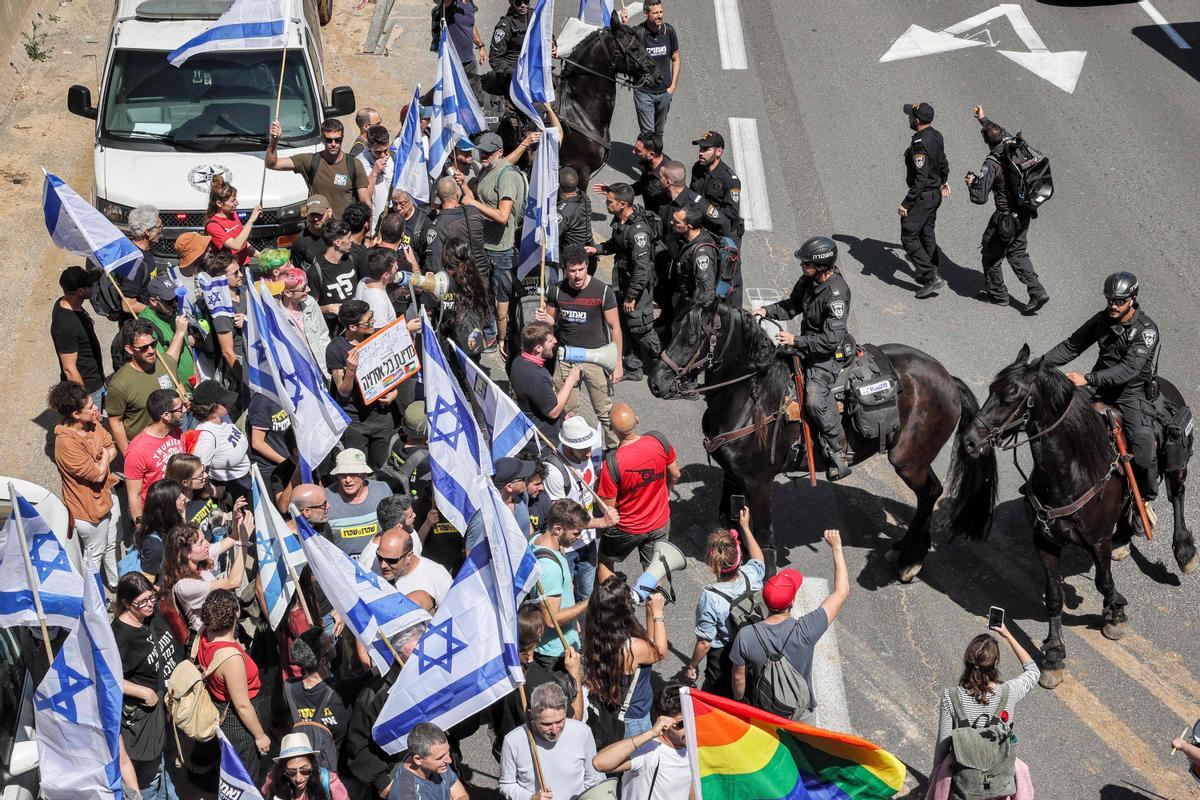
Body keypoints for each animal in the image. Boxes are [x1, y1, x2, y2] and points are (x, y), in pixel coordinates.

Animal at [652, 302, 998, 575]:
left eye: (692, 338)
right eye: (672, 329)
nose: (657, 383)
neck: (751, 400)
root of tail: (948, 379)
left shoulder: (758, 482)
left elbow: (762, 536)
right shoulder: (733, 477)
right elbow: (732, 520)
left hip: (908, 461)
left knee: (931, 493)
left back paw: (910, 560)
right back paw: (905, 549)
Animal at [960, 345, 1195, 690]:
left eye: (1012, 395)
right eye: (991, 389)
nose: (970, 441)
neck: (1071, 473)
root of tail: (1163, 383)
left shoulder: (1097, 542)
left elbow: (1103, 581)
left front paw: (1115, 614)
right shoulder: (1045, 541)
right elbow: (1054, 596)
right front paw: (1054, 656)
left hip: (1177, 464)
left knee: (1176, 495)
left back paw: (1184, 551)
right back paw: (1127, 535)